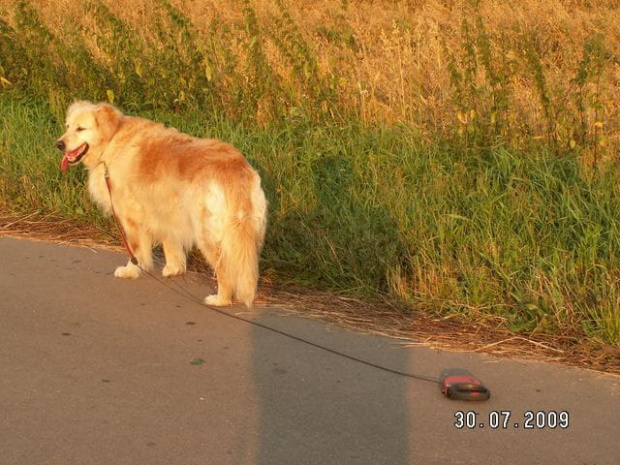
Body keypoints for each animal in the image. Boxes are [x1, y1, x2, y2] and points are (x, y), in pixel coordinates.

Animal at [58, 99, 268, 306]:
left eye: (80, 128)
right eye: (67, 126)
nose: (59, 144)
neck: (111, 139)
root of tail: (235, 169)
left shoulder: (131, 218)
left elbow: (135, 250)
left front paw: (131, 271)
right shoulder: (166, 212)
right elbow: (170, 244)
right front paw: (173, 269)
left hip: (210, 235)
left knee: (225, 270)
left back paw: (220, 299)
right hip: (249, 236)